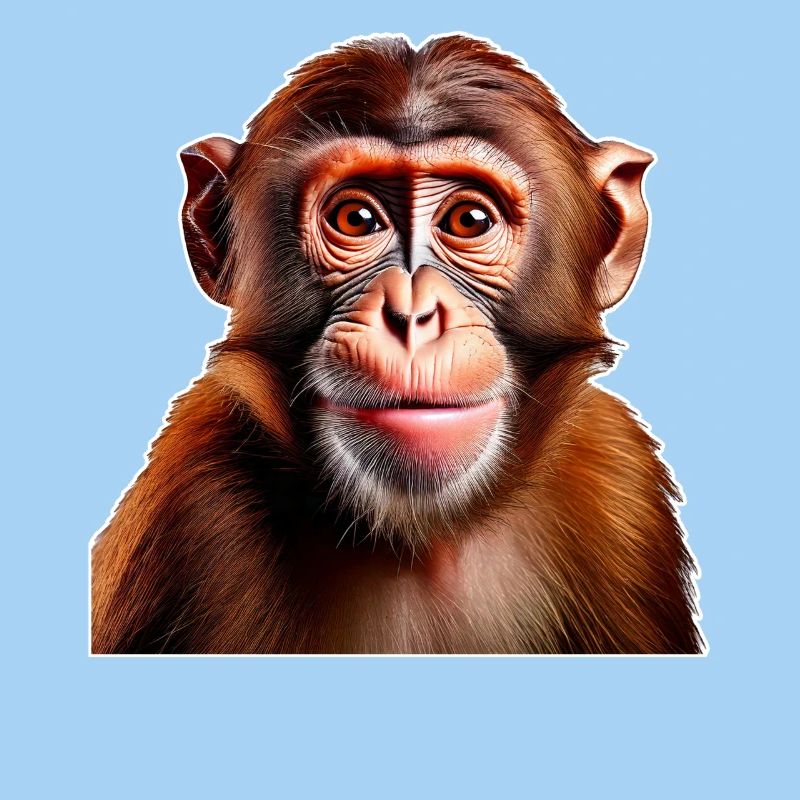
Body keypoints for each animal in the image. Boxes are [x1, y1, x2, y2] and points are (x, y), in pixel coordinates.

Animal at [91, 34, 704, 654]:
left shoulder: (619, 476)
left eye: (469, 219)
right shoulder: (191, 506)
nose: (412, 315)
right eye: (356, 218)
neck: (423, 540)